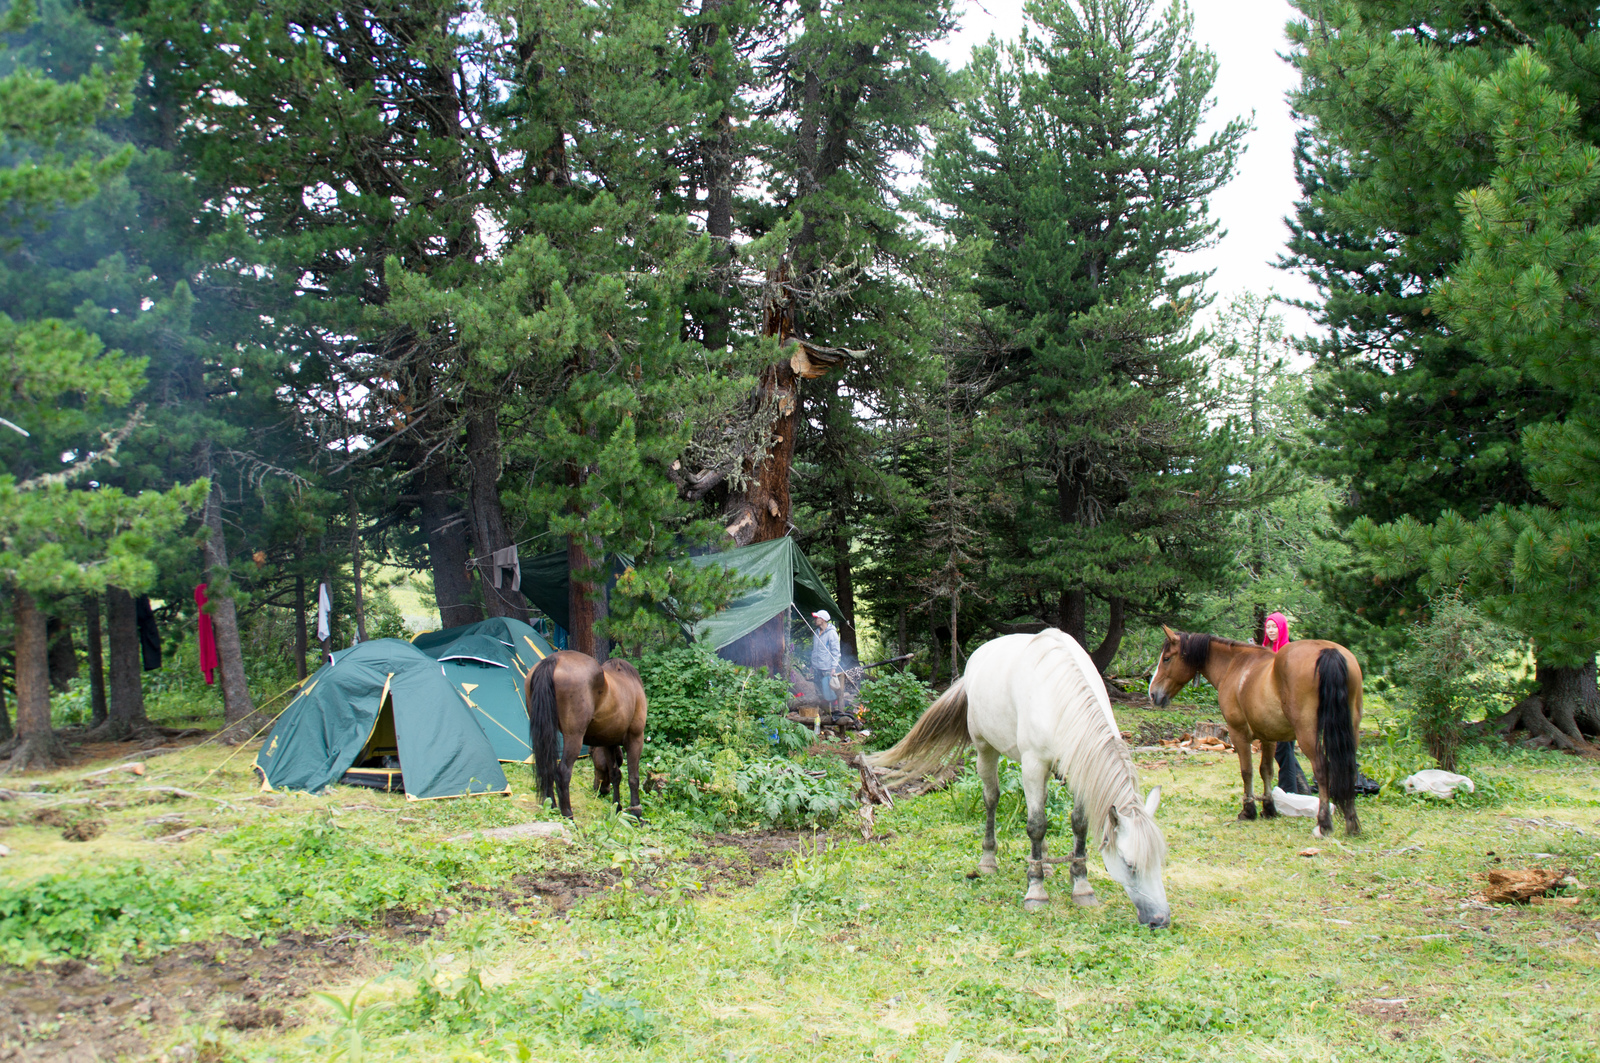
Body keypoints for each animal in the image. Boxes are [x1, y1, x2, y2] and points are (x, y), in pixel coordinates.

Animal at [528, 653, 646, 816]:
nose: (601, 789)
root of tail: (554, 659)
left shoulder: (609, 742)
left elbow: (615, 774)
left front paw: (617, 807)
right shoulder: (635, 737)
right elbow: (633, 777)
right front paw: (636, 812)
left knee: (547, 767)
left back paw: (552, 807)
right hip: (574, 737)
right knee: (563, 772)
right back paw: (568, 815)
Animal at [870, 630, 1171, 922]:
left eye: (1160, 861)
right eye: (1129, 864)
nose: (1160, 919)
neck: (1059, 697)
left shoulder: (1075, 766)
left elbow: (1079, 824)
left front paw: (1082, 886)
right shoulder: (1033, 765)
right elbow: (1036, 825)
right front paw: (1036, 891)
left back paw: (1046, 864)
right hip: (985, 749)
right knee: (991, 798)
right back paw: (989, 860)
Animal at [1152, 624, 1363, 838]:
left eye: (1166, 658)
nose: (1153, 694)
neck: (1235, 665)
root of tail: (1329, 651)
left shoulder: (1239, 733)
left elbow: (1247, 771)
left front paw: (1248, 810)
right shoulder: (1269, 737)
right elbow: (1266, 770)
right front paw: (1269, 808)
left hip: (1308, 736)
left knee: (1322, 770)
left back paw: (1324, 823)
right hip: (1349, 734)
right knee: (1349, 769)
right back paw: (1351, 823)